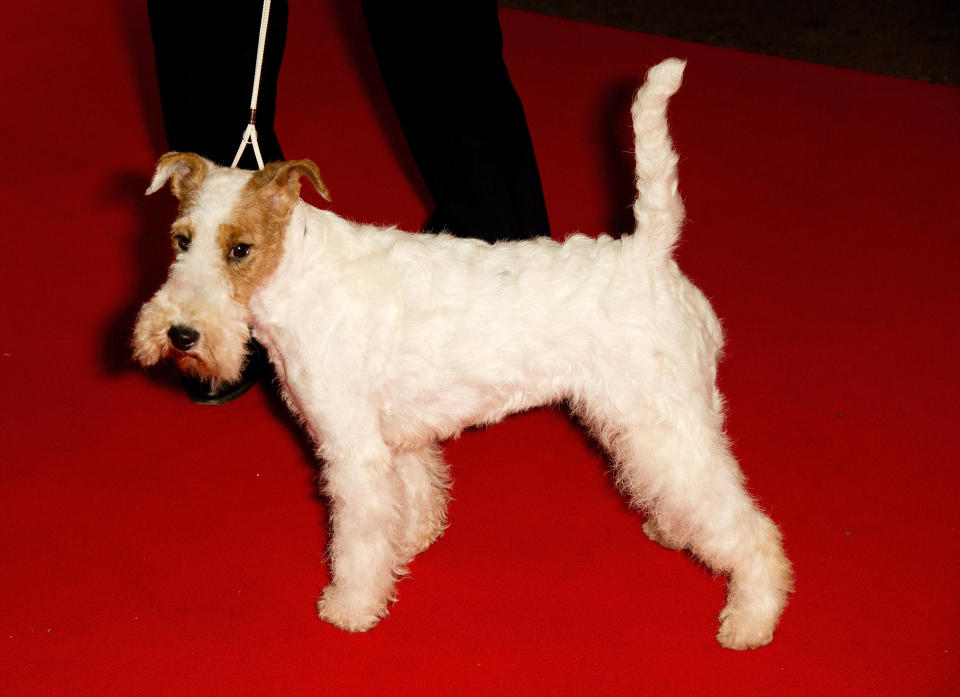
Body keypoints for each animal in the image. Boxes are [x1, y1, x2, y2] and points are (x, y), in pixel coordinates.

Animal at [135, 58, 796, 648]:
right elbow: (414, 494)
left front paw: (350, 606)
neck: (298, 274)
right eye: (181, 240)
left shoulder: (351, 449)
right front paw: (411, 541)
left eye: (240, 249)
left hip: (661, 419)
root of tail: (649, 252)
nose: (181, 335)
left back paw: (749, 621)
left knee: (751, 527)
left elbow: (357, 539)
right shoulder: (394, 437)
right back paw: (674, 530)